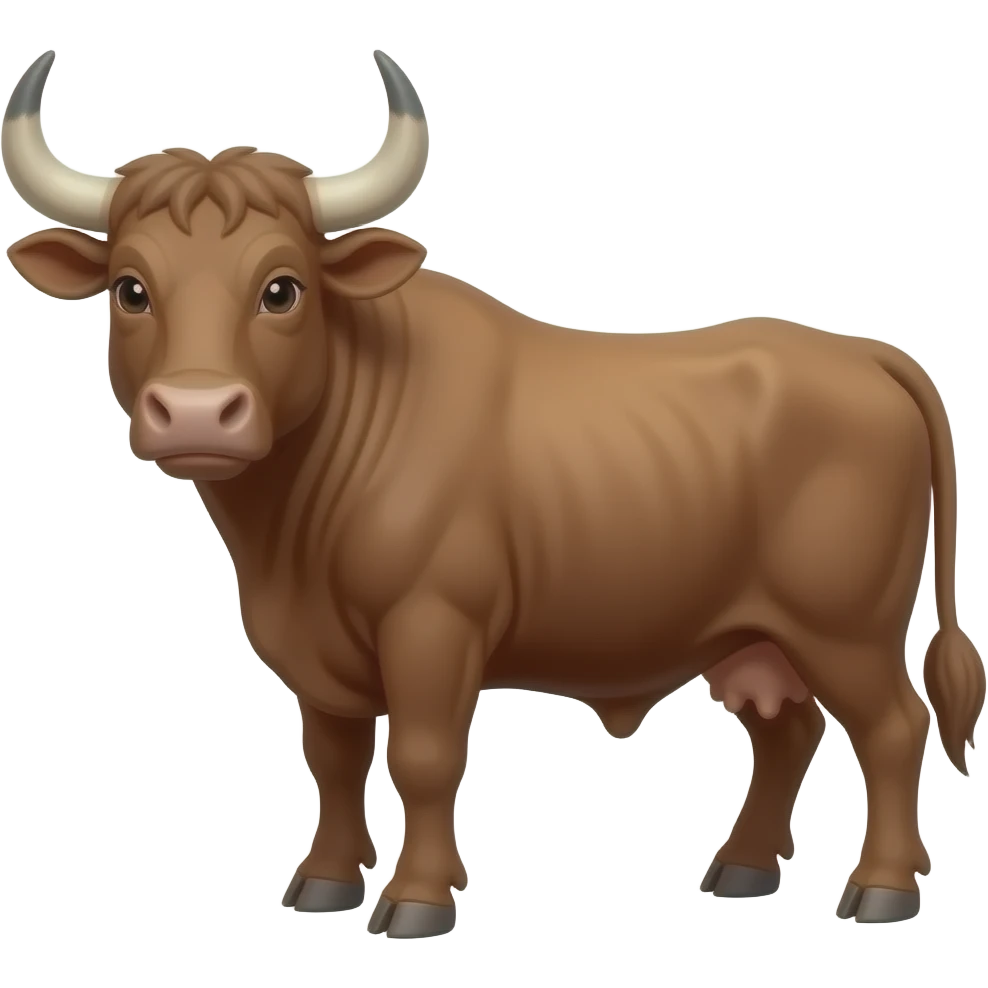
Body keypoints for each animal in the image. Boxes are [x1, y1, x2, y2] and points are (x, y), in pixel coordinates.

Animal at [3, 49, 984, 938]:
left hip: (846, 626)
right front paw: (324, 882)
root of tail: (863, 353)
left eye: (282, 288)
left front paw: (417, 900)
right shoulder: (315, 655)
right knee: (790, 730)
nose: (198, 411)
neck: (286, 543)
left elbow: (424, 758)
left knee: (894, 728)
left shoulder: (433, 625)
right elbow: (331, 758)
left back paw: (883, 889)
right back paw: (741, 868)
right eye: (131, 289)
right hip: (753, 635)